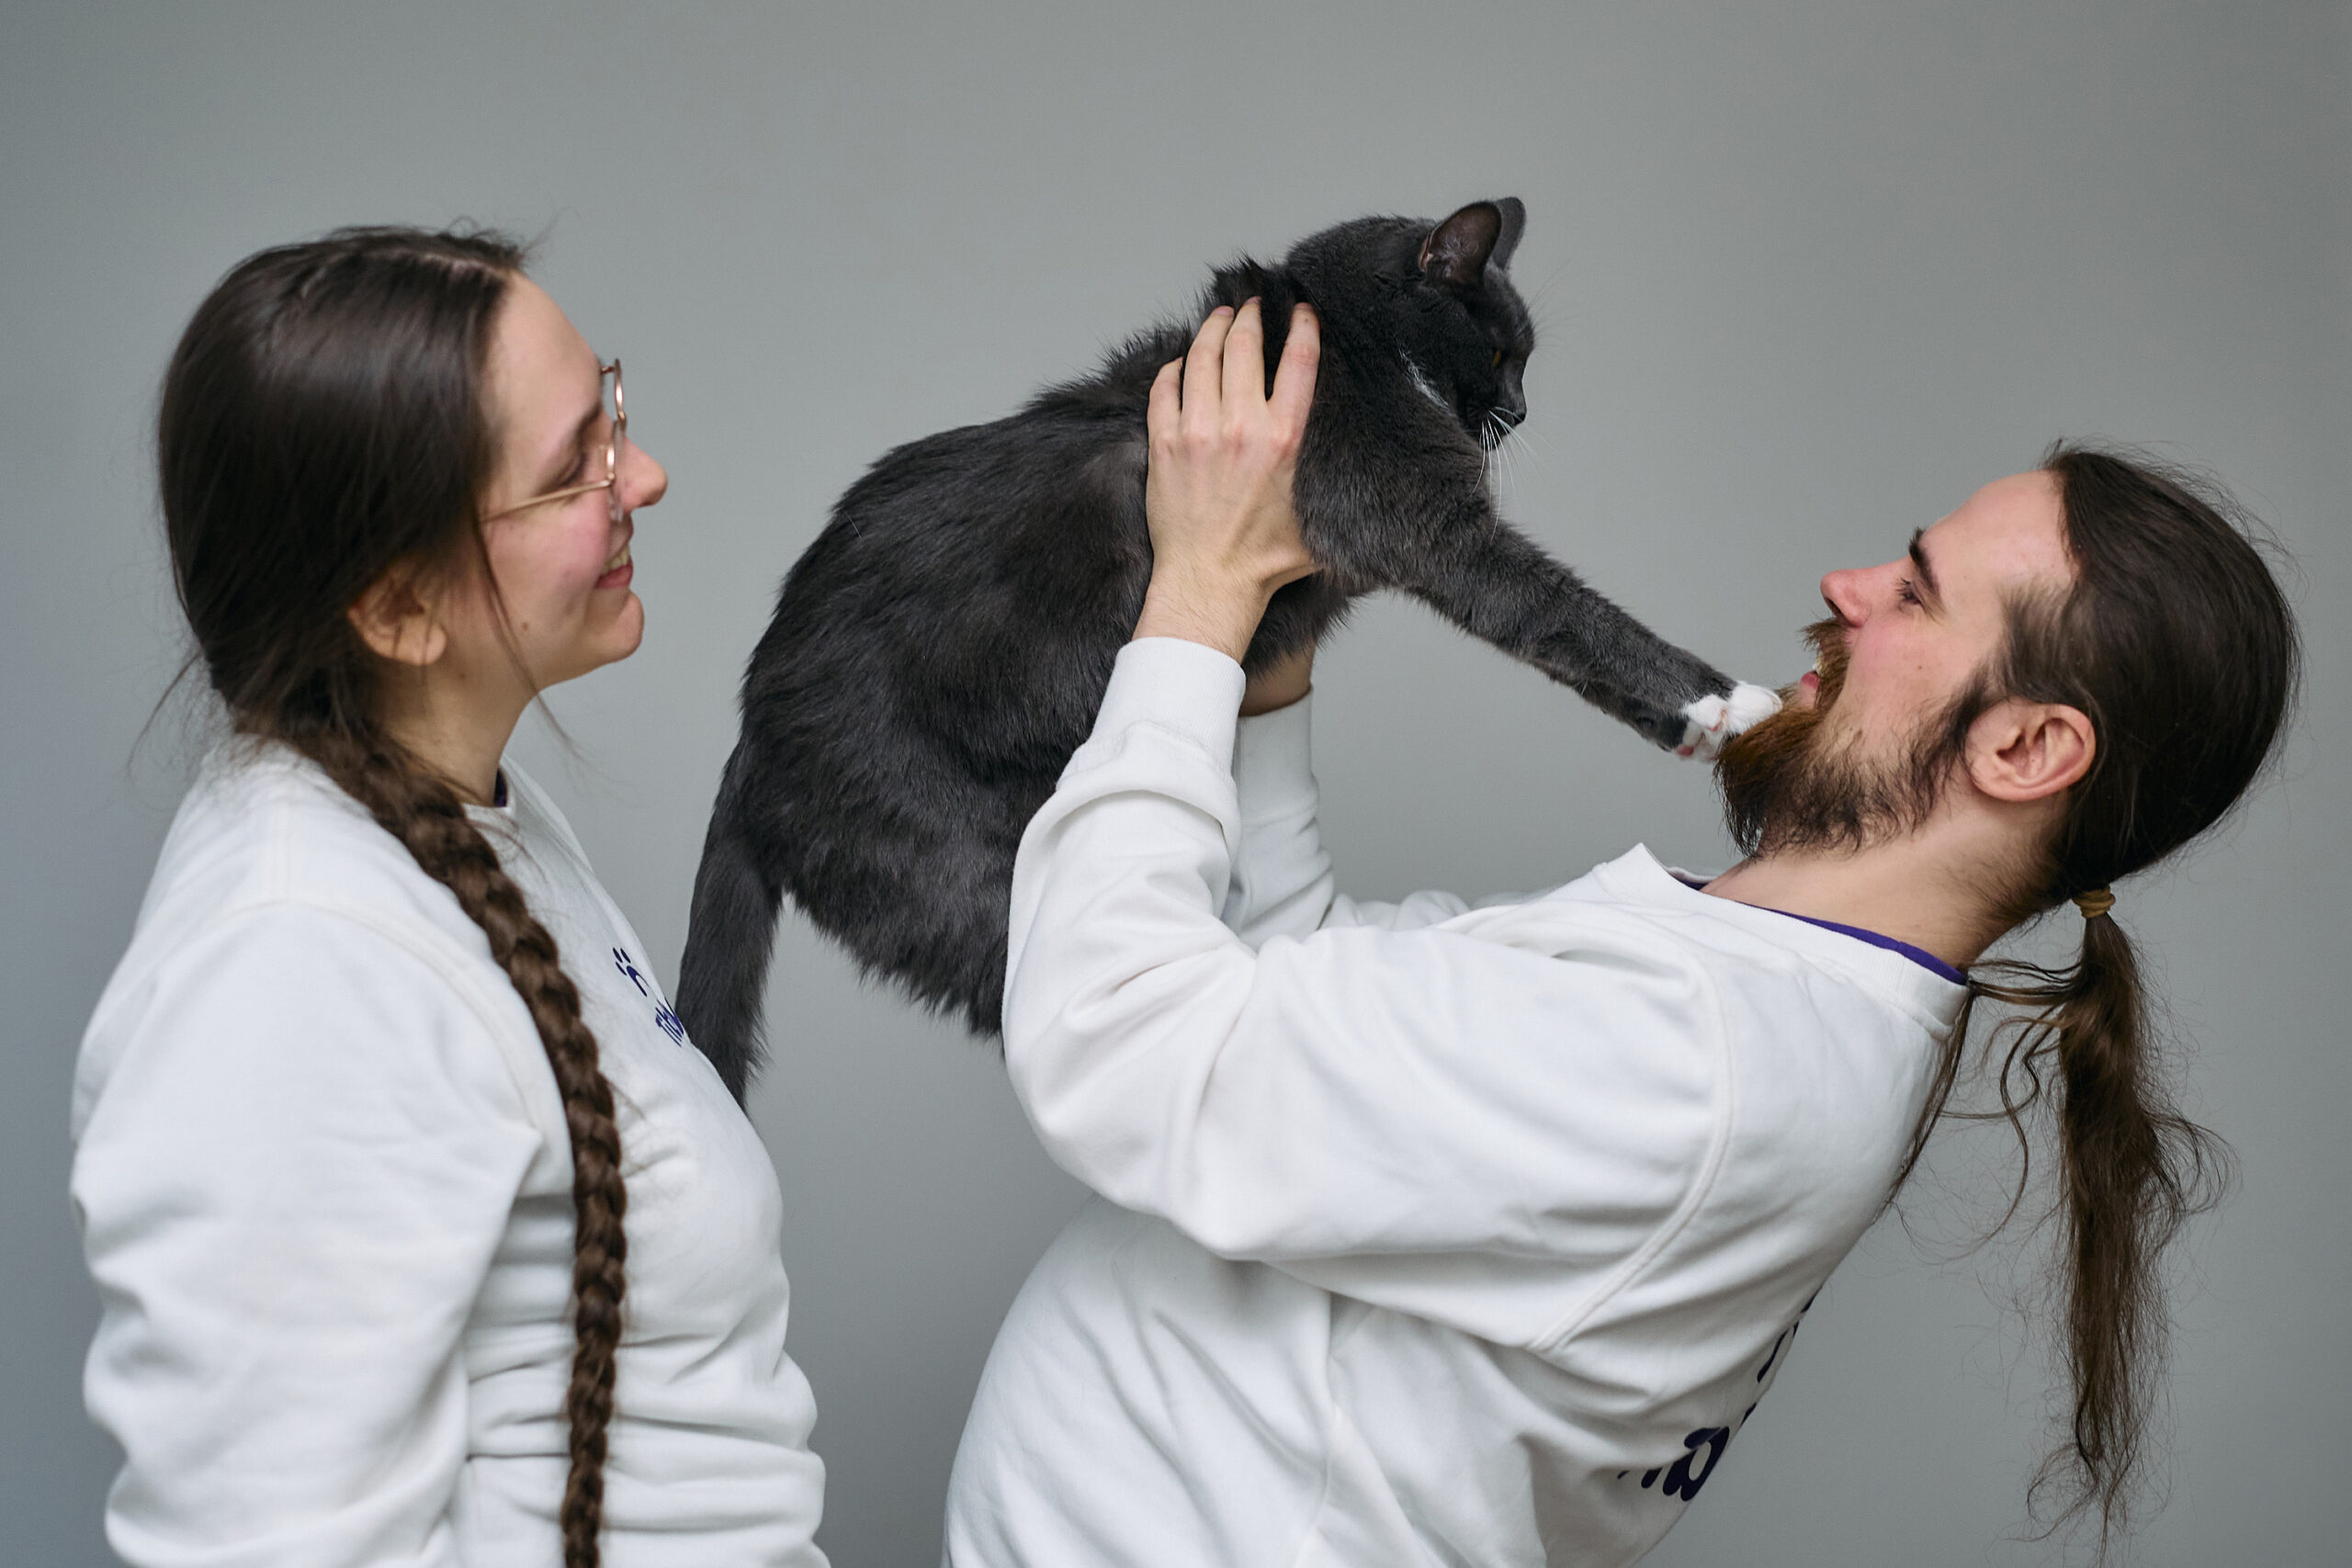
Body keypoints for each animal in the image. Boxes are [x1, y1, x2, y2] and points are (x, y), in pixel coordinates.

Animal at [686, 199, 1769, 1104]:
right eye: (1502, 349)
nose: (1522, 412)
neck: (1352, 341)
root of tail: (748, 748)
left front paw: (1707, 726)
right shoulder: (1431, 525)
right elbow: (1571, 614)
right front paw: (1731, 703)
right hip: (963, 872)